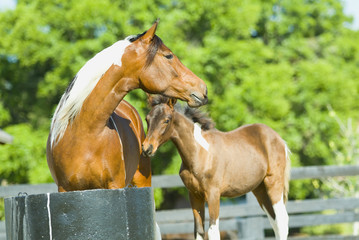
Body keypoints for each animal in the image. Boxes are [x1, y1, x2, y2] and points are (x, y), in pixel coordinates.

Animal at [142, 96, 292, 240]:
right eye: (147, 119)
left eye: (166, 120)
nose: (147, 148)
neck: (200, 153)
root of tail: (278, 139)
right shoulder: (194, 195)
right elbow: (199, 231)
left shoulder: (213, 194)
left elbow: (213, 231)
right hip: (260, 189)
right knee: (274, 221)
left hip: (273, 184)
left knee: (282, 220)